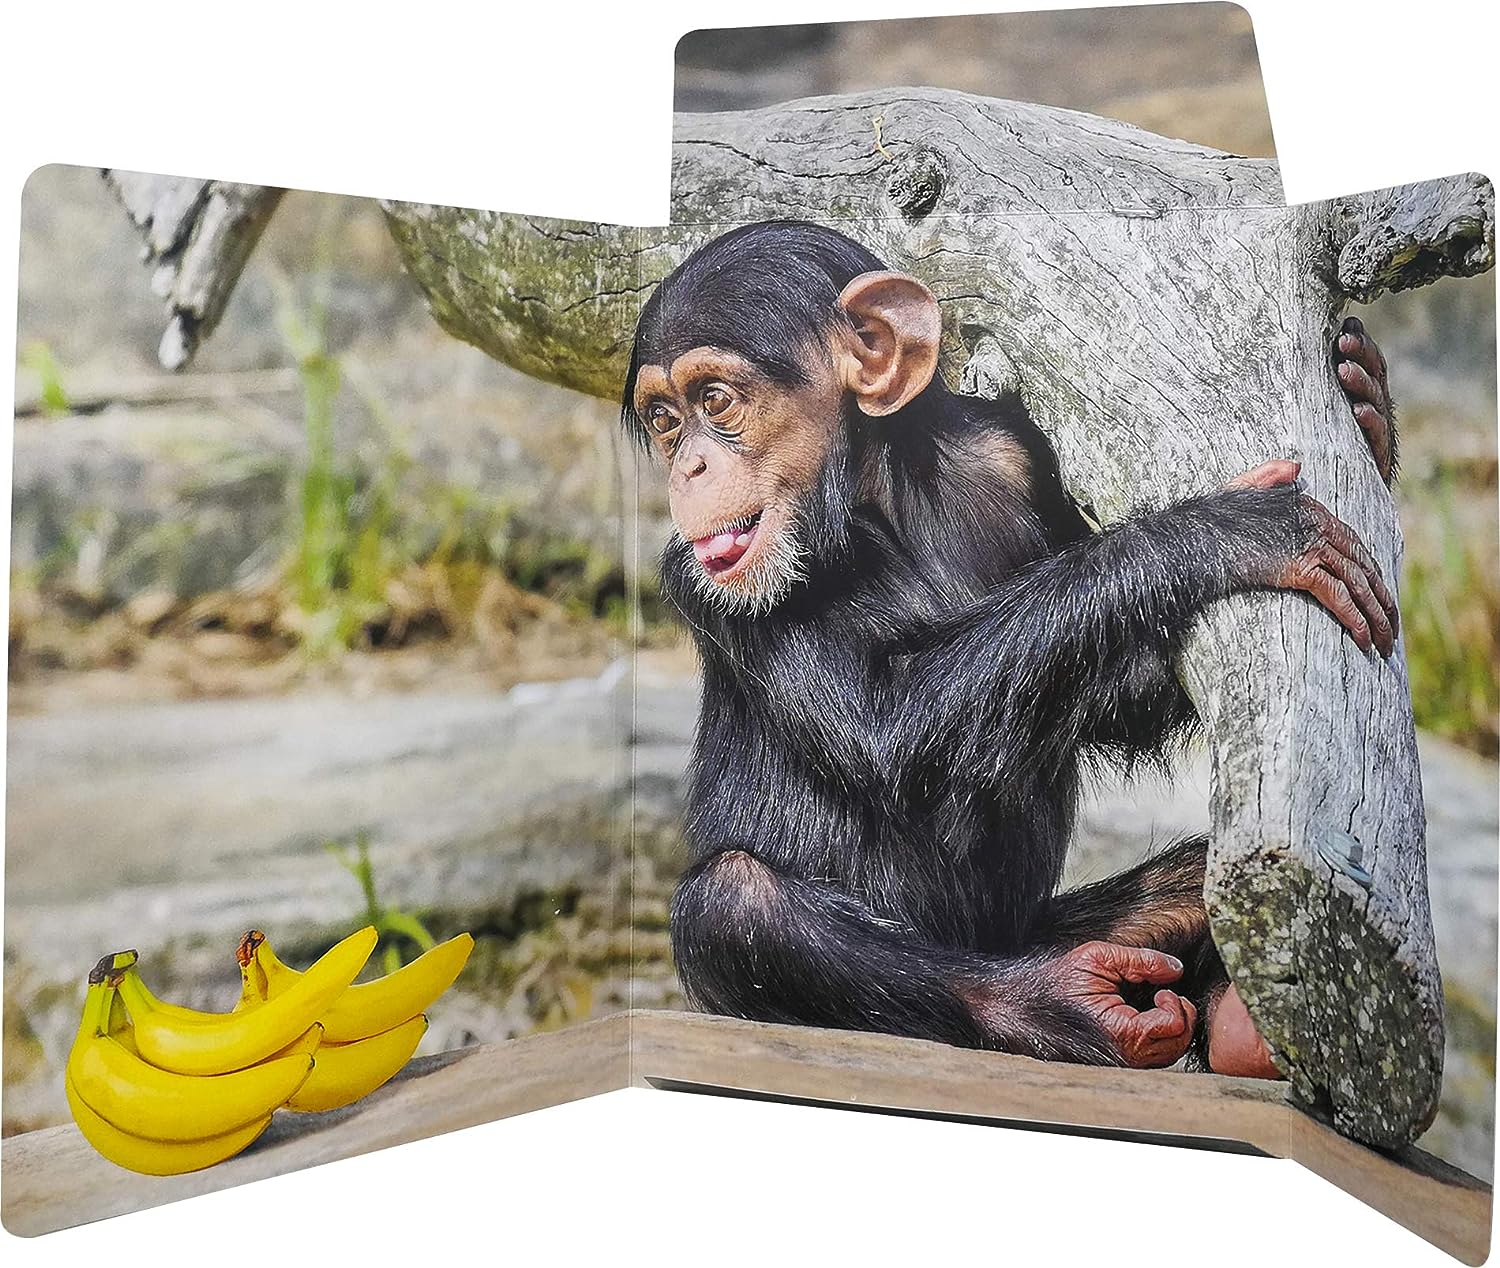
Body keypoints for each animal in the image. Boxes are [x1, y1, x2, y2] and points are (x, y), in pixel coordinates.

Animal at [622, 220, 1399, 1073]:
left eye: (714, 401)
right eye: (665, 419)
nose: (690, 463)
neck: (877, 496)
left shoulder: (1017, 458)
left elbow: (1114, 697)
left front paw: (1367, 406)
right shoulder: (700, 582)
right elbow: (887, 726)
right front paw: (1214, 533)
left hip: (1040, 929)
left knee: (1195, 877)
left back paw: (1233, 1023)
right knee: (731, 902)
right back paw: (1059, 1003)